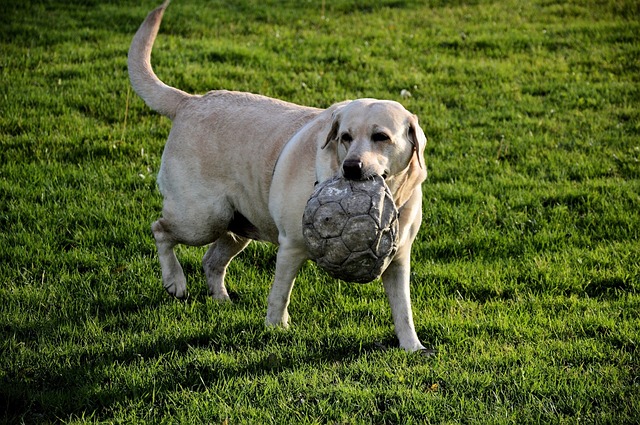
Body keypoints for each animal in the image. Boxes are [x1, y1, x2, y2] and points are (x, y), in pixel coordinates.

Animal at [129, 0, 430, 352]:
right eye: (345, 137)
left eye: (381, 137)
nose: (351, 167)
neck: (391, 193)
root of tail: (190, 101)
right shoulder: (292, 246)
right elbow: (280, 294)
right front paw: (276, 328)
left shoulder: (398, 260)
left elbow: (403, 308)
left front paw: (413, 347)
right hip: (203, 217)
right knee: (161, 229)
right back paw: (175, 281)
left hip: (238, 223)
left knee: (212, 260)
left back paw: (221, 299)